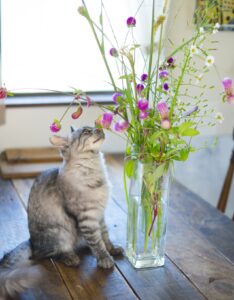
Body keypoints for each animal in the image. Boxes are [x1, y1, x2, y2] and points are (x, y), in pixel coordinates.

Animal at [0, 125, 123, 298]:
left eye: (94, 127)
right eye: (86, 131)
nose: (99, 128)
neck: (96, 170)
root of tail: (32, 241)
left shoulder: (100, 216)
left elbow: (105, 236)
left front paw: (112, 249)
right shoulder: (87, 219)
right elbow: (97, 243)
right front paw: (105, 258)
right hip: (61, 232)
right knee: (49, 254)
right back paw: (70, 257)